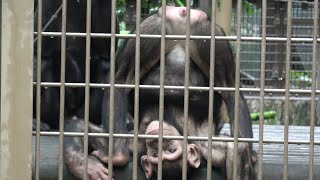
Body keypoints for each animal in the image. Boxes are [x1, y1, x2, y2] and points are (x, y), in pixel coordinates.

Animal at [63, 5, 255, 180]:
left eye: (170, 150)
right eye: (155, 153)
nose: (157, 139)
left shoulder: (211, 149)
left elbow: (235, 150)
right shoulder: (133, 144)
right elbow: (81, 127)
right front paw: (92, 163)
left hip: (205, 33)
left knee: (228, 85)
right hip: (156, 29)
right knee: (123, 76)